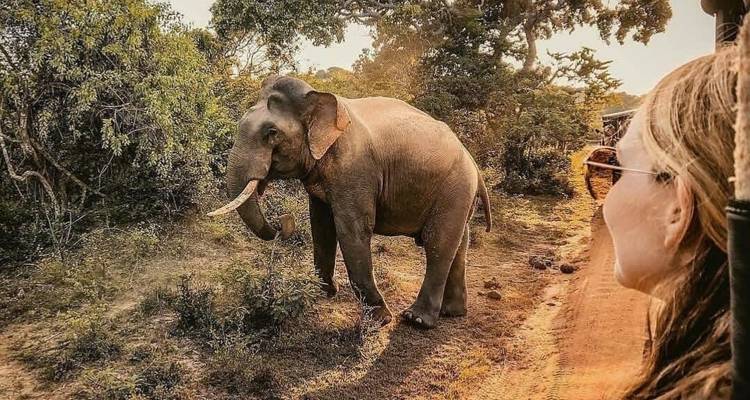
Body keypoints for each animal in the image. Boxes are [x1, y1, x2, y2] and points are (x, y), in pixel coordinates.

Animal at [208, 76, 492, 329]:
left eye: (272, 133)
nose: (282, 221)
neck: (320, 98)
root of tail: (473, 163)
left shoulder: (355, 170)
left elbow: (351, 230)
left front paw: (380, 319)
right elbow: (321, 226)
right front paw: (322, 292)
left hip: (455, 188)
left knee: (438, 243)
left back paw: (417, 320)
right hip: (459, 194)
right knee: (460, 244)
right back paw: (453, 313)